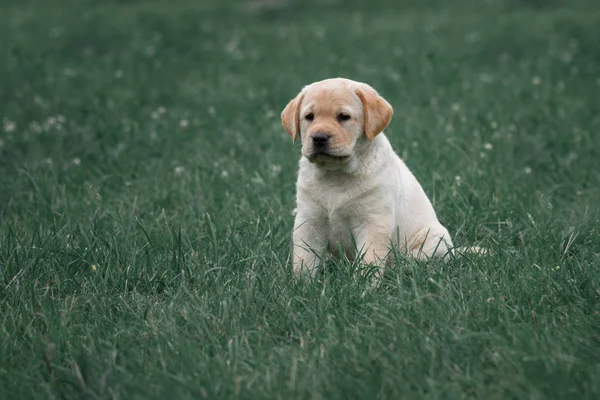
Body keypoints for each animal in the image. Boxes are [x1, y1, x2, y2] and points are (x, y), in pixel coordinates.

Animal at [282, 76, 454, 280]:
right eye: (309, 117)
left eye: (343, 116)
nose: (319, 138)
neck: (335, 175)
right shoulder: (308, 220)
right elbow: (304, 259)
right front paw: (301, 284)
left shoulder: (373, 221)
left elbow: (369, 260)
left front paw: (363, 284)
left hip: (434, 238)